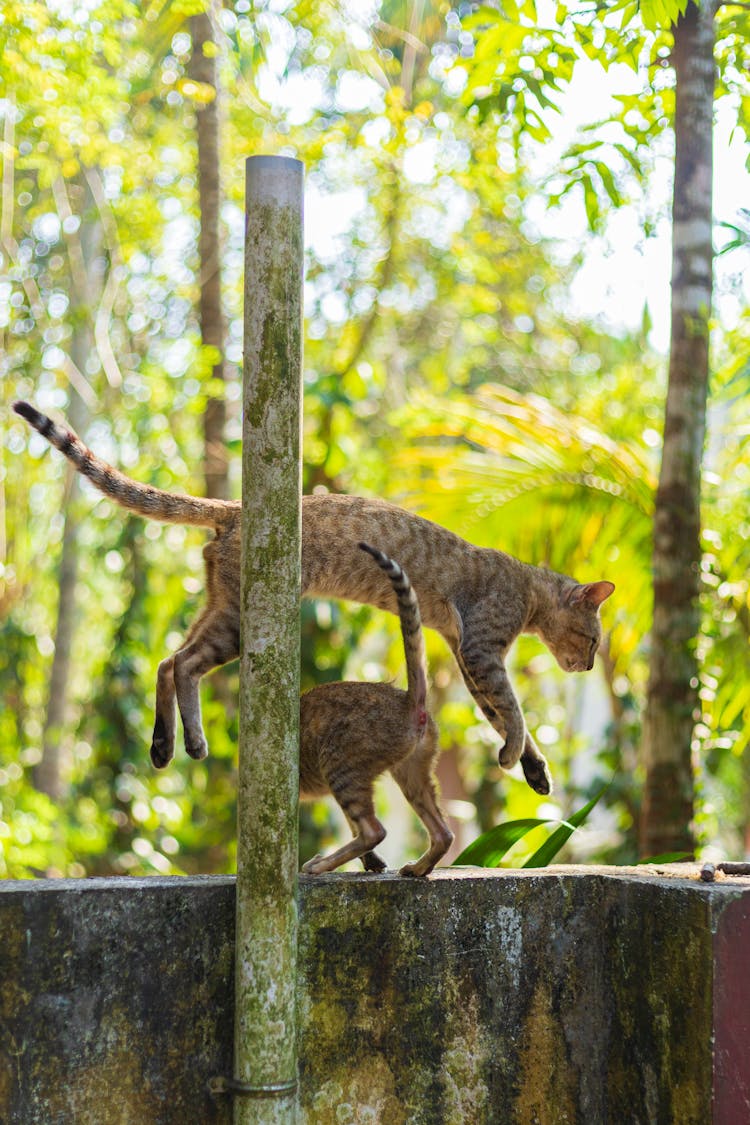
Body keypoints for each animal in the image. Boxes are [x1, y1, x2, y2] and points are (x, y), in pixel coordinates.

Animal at [13, 400, 616, 796]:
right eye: (592, 640)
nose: (589, 667)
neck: (528, 586)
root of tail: (235, 507)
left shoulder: (465, 654)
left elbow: (500, 713)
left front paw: (533, 766)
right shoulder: (481, 650)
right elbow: (513, 709)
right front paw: (518, 753)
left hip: (222, 611)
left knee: (170, 661)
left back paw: (171, 744)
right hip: (242, 620)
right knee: (181, 663)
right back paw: (185, 742)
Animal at [299, 544, 452, 877]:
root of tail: (410, 701)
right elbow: (351, 826)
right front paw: (372, 863)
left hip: (341, 761)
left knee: (373, 830)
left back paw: (320, 864)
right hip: (412, 769)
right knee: (443, 833)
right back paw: (419, 867)